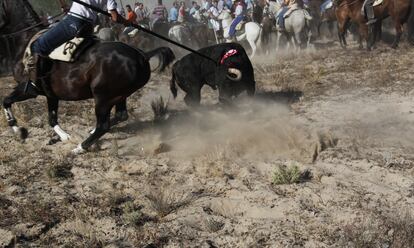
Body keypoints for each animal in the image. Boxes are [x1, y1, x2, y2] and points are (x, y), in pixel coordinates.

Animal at [0, 0, 175, 153]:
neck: (25, 40)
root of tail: (142, 55)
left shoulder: (30, 89)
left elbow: (6, 101)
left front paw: (19, 130)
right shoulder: (51, 94)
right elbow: (51, 118)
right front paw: (61, 136)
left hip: (103, 97)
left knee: (103, 125)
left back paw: (80, 148)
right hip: (120, 95)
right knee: (120, 115)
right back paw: (90, 133)